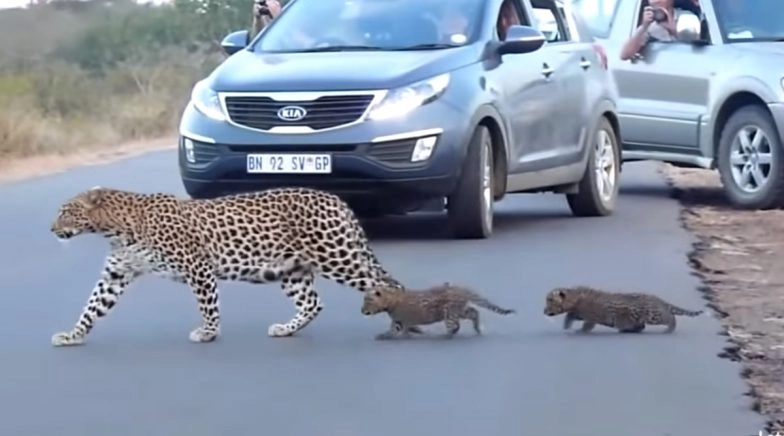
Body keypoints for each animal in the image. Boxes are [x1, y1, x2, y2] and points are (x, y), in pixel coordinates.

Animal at [49, 185, 420, 347]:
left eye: (66, 211)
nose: (51, 229)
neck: (115, 229)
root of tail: (337, 199)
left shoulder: (197, 266)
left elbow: (208, 305)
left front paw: (208, 333)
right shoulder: (116, 274)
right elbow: (92, 307)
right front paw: (72, 334)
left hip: (337, 257)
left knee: (389, 285)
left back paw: (401, 326)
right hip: (293, 270)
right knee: (313, 303)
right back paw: (286, 329)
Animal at [360, 281, 516, 340]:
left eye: (368, 300)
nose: (362, 310)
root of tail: (464, 289)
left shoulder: (403, 320)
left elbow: (397, 330)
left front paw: (390, 336)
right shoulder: (399, 320)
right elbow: (396, 329)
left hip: (450, 313)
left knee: (455, 325)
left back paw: (446, 335)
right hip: (460, 310)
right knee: (474, 312)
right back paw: (477, 329)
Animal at [543, 285, 706, 334]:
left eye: (549, 300)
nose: (543, 311)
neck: (574, 298)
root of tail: (659, 299)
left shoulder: (591, 317)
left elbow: (586, 325)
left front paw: (580, 331)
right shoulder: (577, 312)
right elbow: (569, 316)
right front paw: (566, 326)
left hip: (653, 314)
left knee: (671, 317)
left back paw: (669, 329)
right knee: (640, 326)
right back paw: (626, 330)